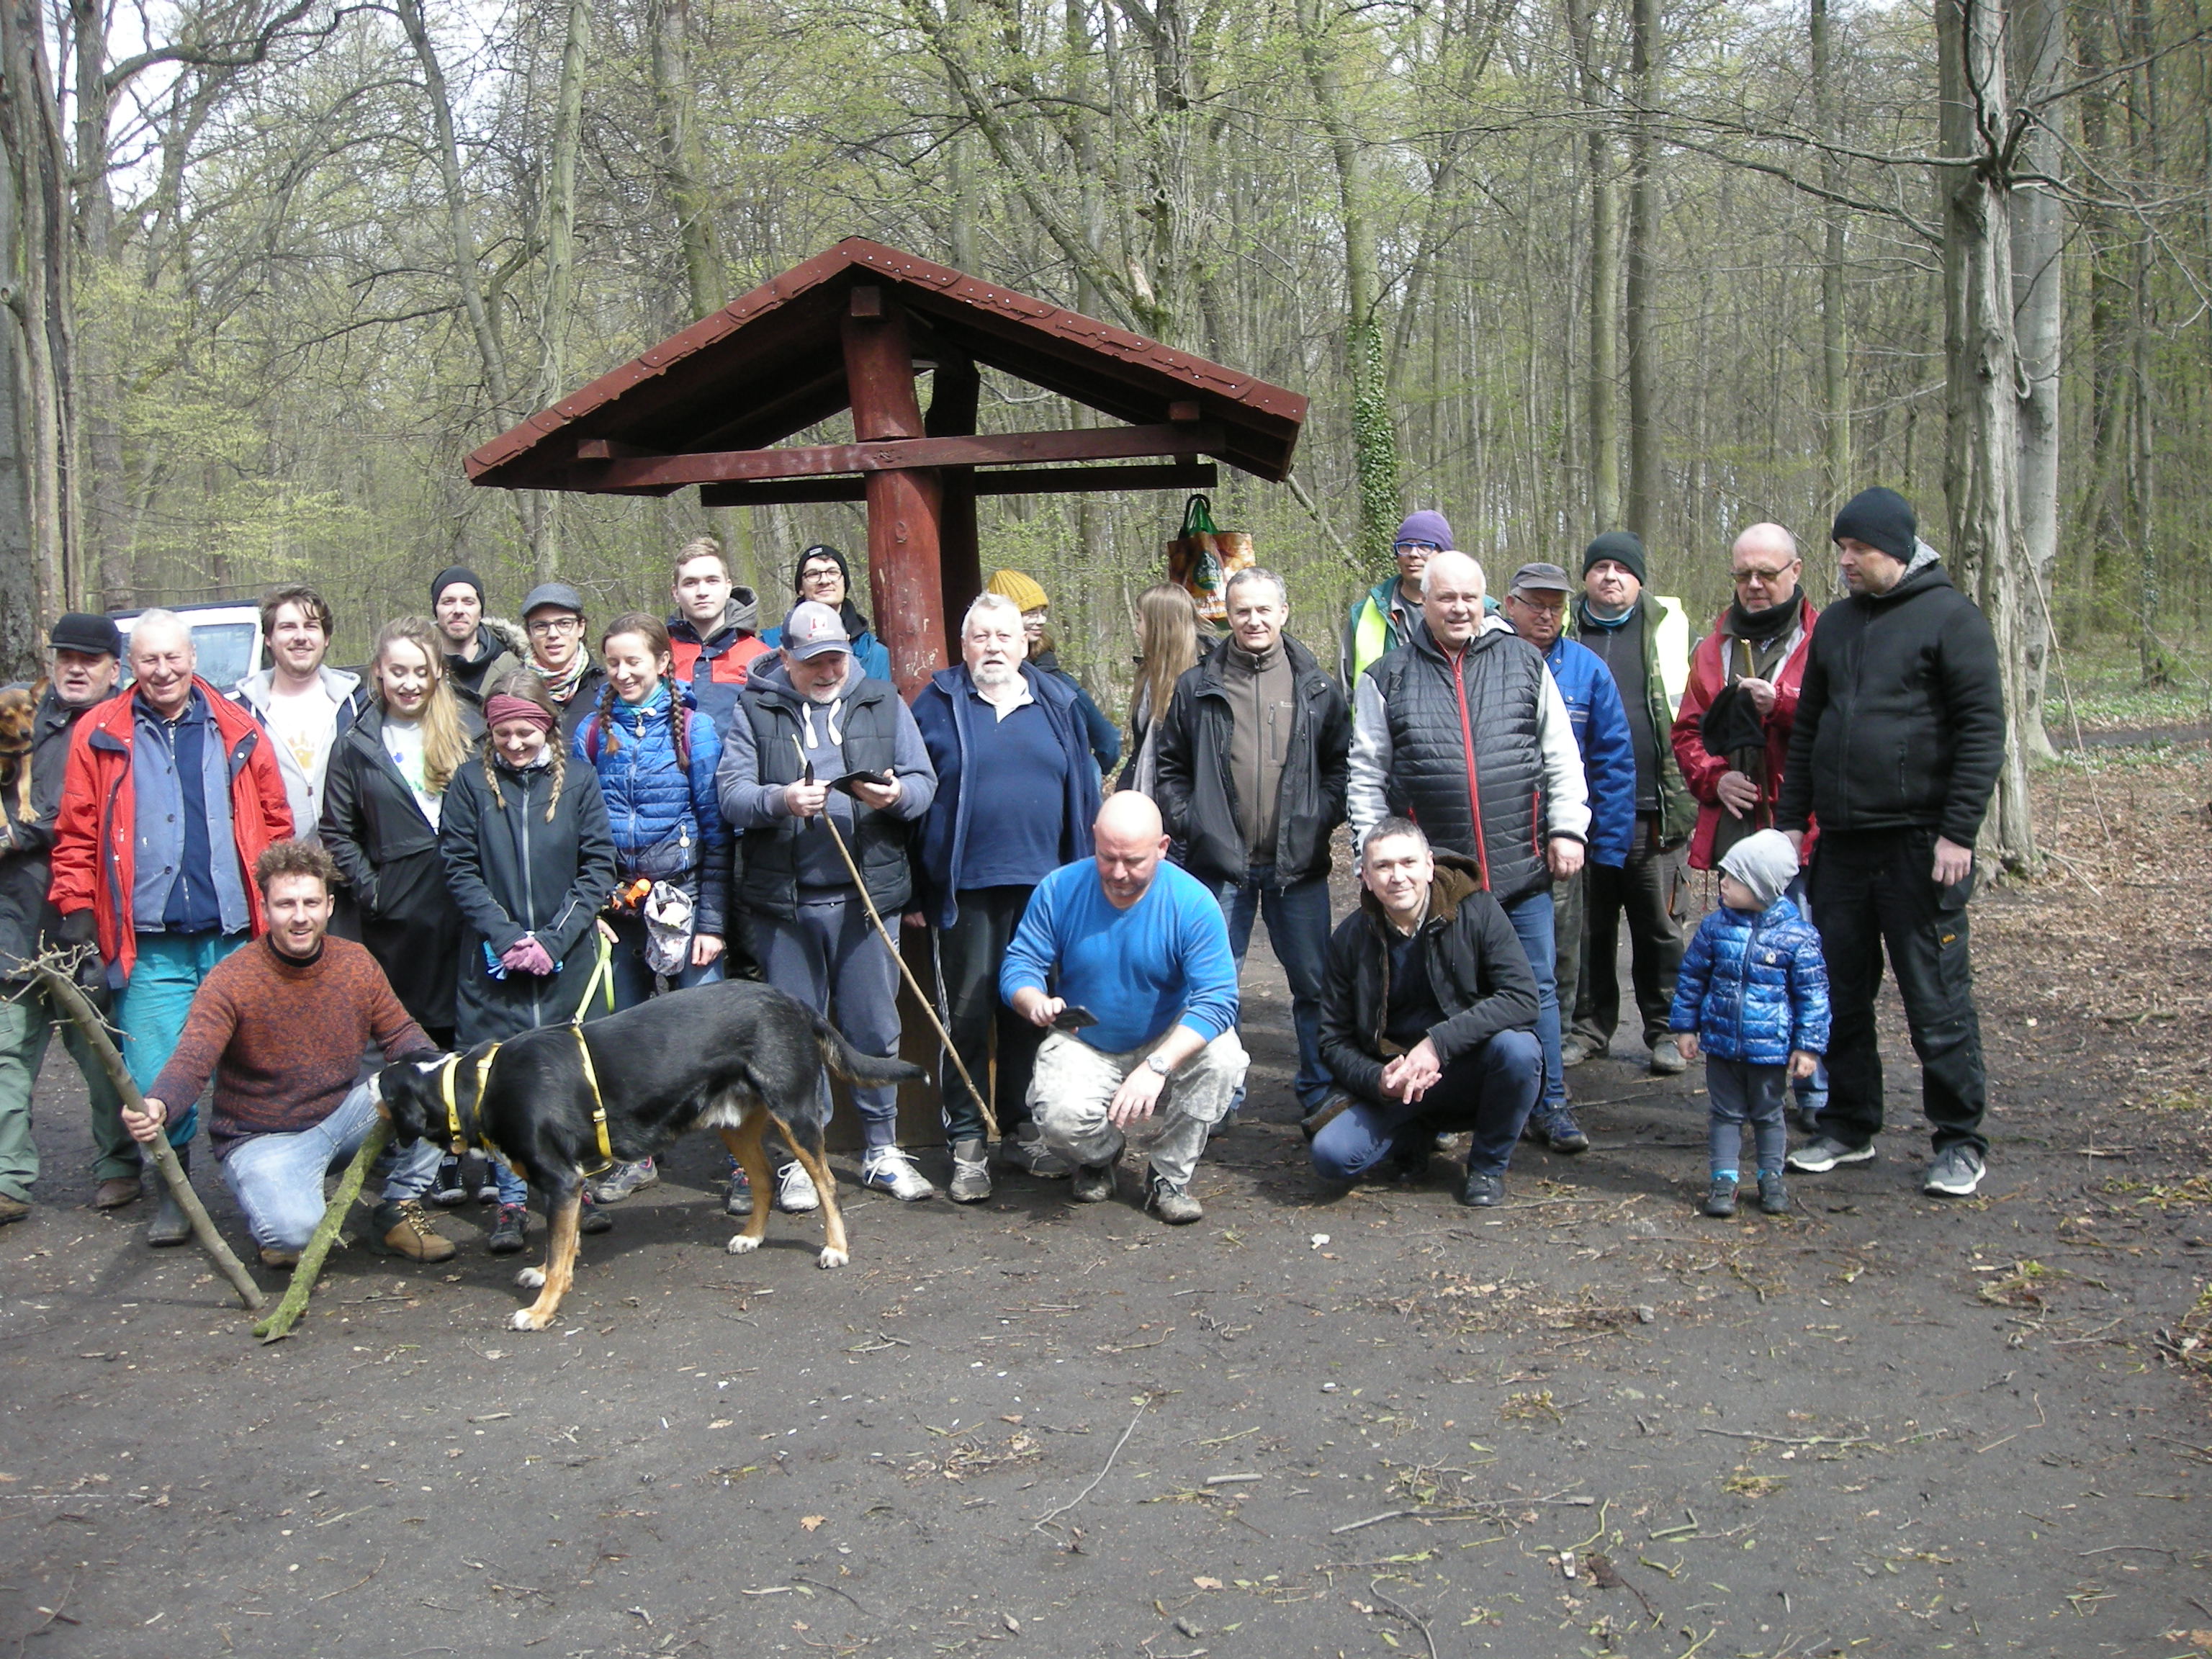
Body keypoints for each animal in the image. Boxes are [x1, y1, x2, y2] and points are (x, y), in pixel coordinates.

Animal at [376, 981, 920, 1336]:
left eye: (381, 1090)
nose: (363, 1087)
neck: (479, 1086)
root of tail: (793, 1001)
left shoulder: (561, 1181)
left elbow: (559, 1253)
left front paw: (541, 1310)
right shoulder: (563, 1186)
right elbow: (563, 1246)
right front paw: (545, 1275)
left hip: (795, 1115)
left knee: (826, 1184)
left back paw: (836, 1248)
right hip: (733, 1125)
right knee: (764, 1178)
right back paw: (752, 1237)